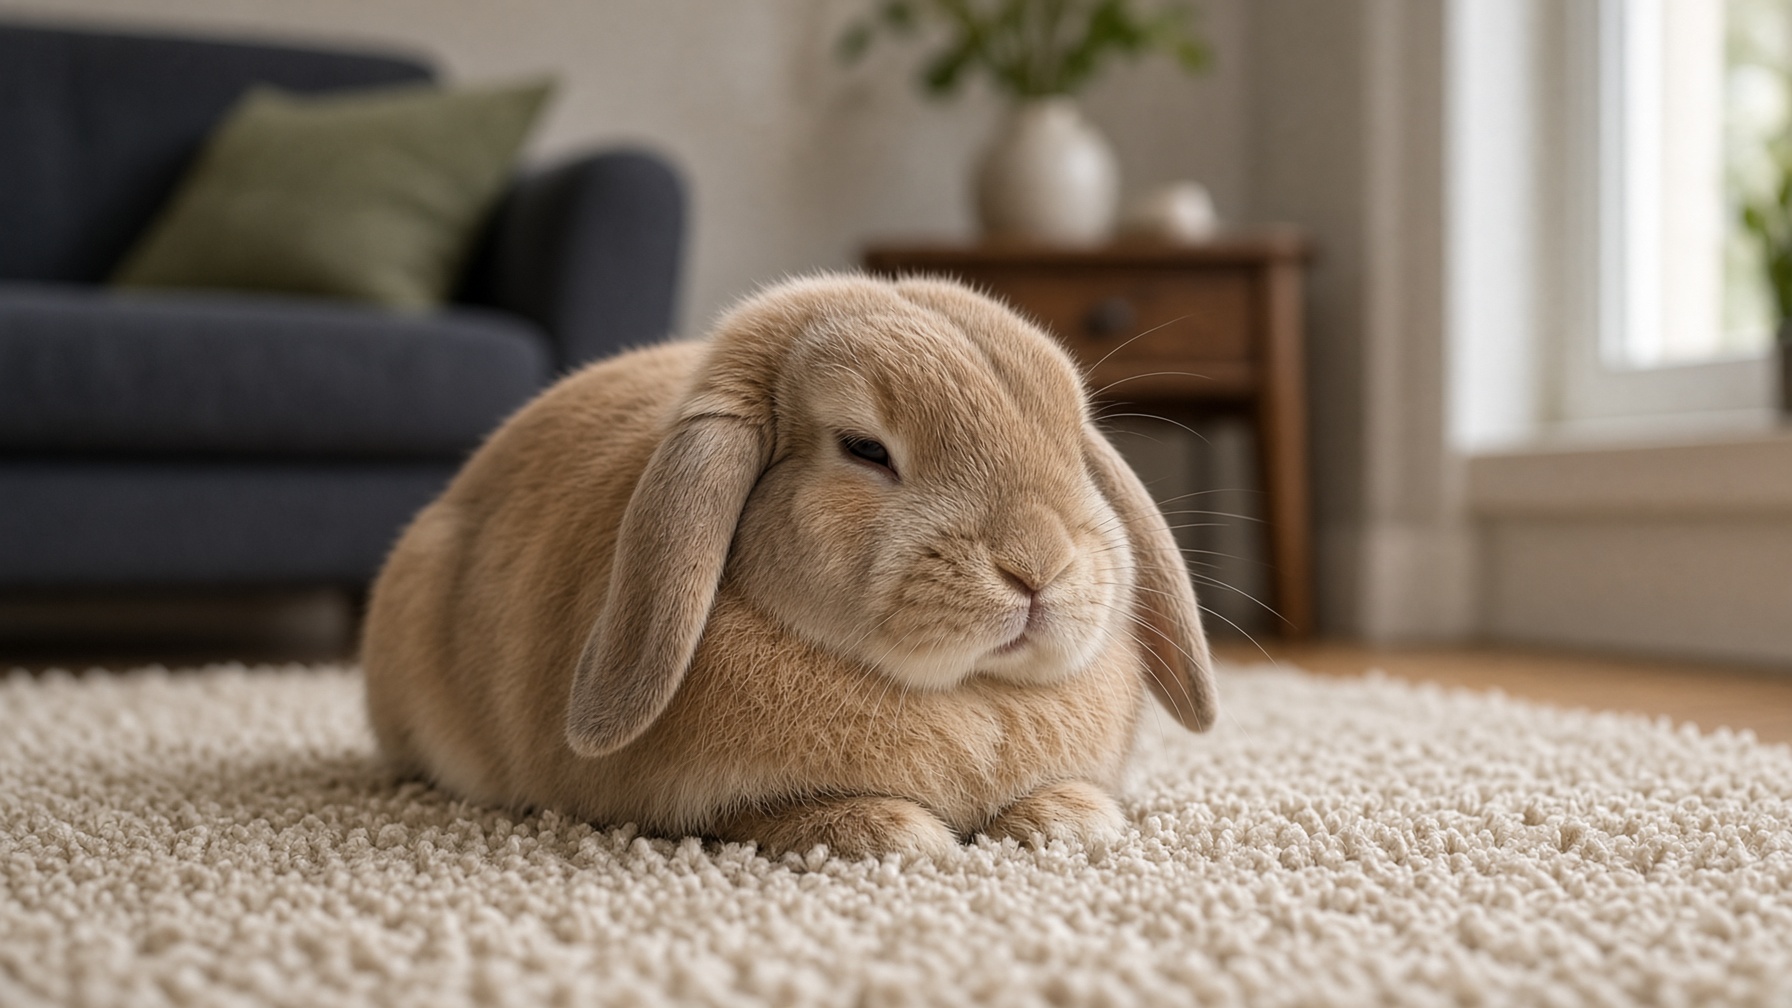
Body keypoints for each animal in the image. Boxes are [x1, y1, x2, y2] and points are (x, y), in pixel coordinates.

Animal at [361, 272, 1216, 860]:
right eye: (865, 448)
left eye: (1071, 442)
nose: (1038, 566)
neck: (971, 694)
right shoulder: (703, 803)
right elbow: (769, 813)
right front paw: (896, 833)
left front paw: (1072, 818)